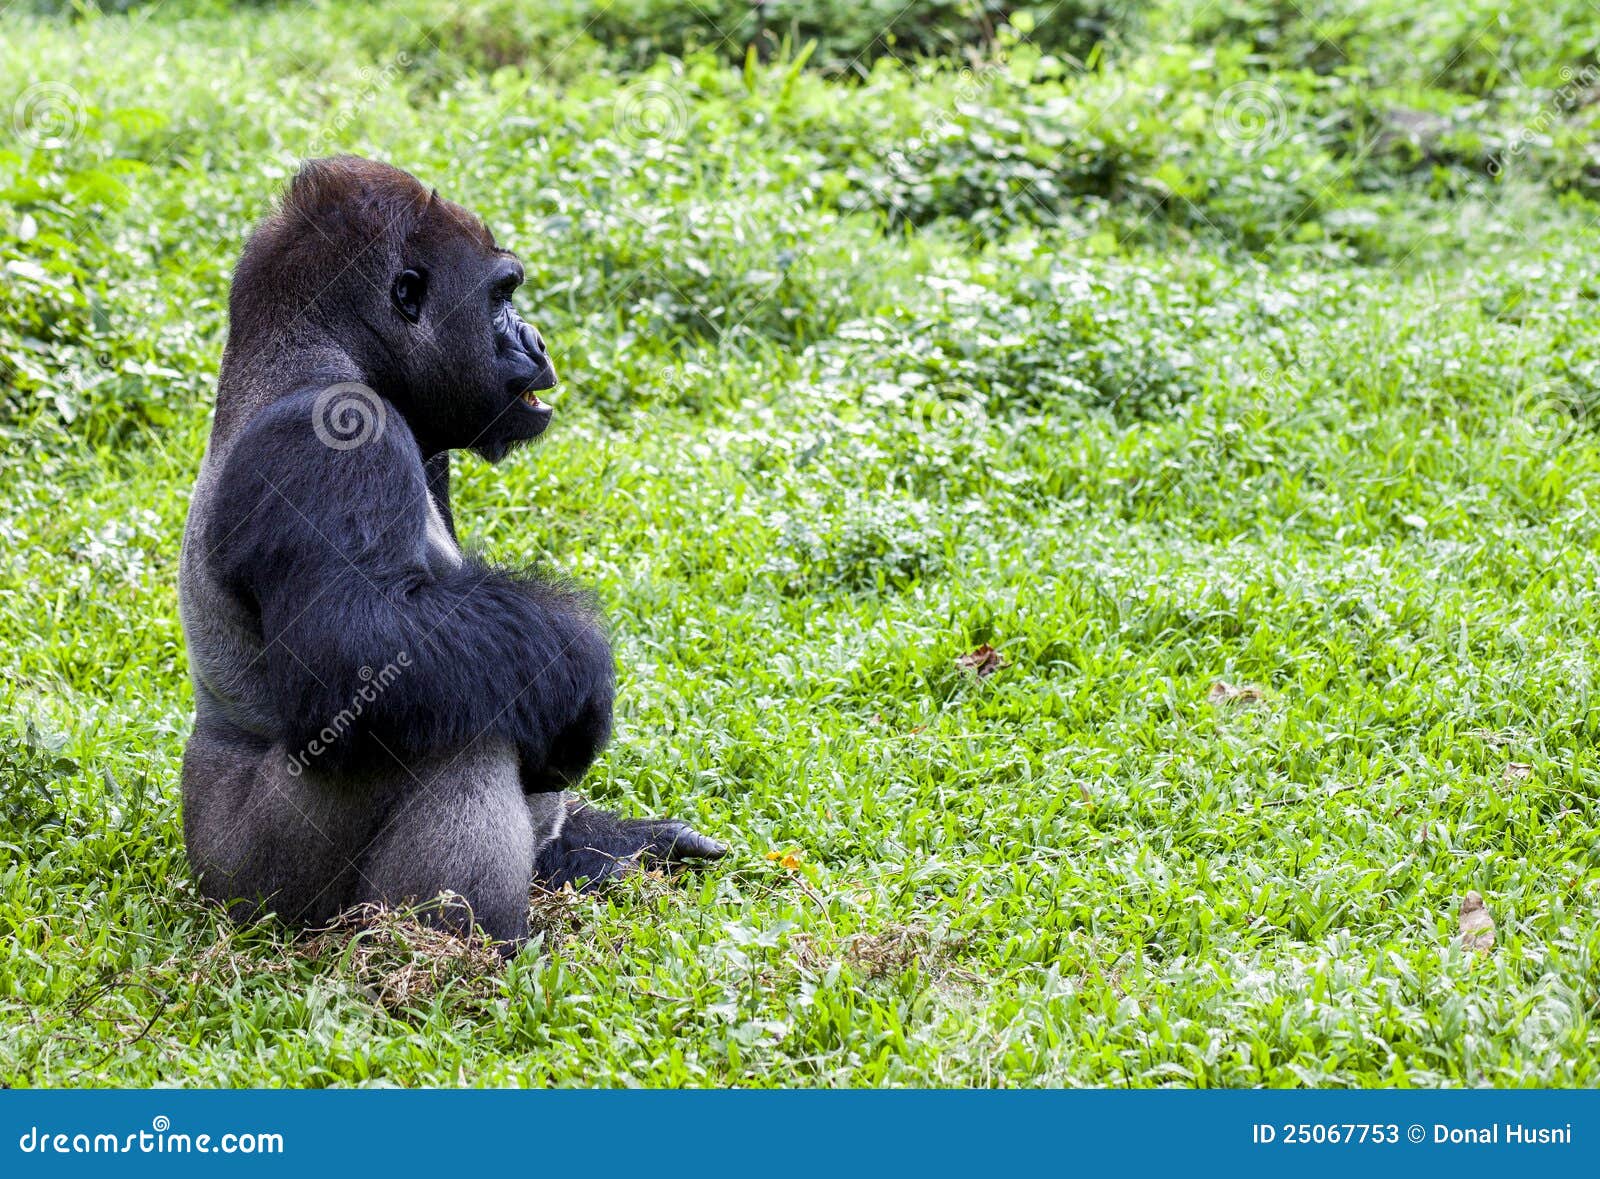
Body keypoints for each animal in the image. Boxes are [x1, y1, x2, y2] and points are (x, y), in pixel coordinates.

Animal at [180, 156, 726, 947]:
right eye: (500, 296)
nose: (535, 339)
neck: (323, 351)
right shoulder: (332, 437)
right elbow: (360, 649)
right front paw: (578, 663)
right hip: (254, 888)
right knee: (447, 716)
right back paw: (453, 952)